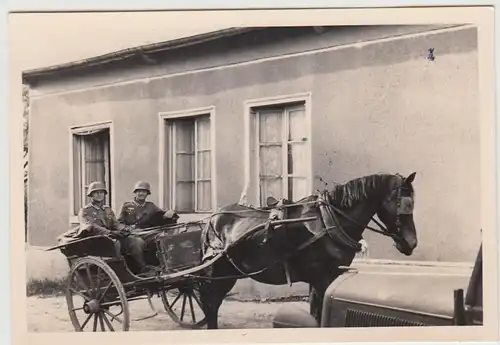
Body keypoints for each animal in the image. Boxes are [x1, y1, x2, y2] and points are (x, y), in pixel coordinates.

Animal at [195, 172, 418, 328]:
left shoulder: (323, 280)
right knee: (211, 305)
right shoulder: (322, 279)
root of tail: (213, 218)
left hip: (229, 274)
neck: (329, 221)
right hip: (217, 273)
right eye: (403, 204)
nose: (412, 243)